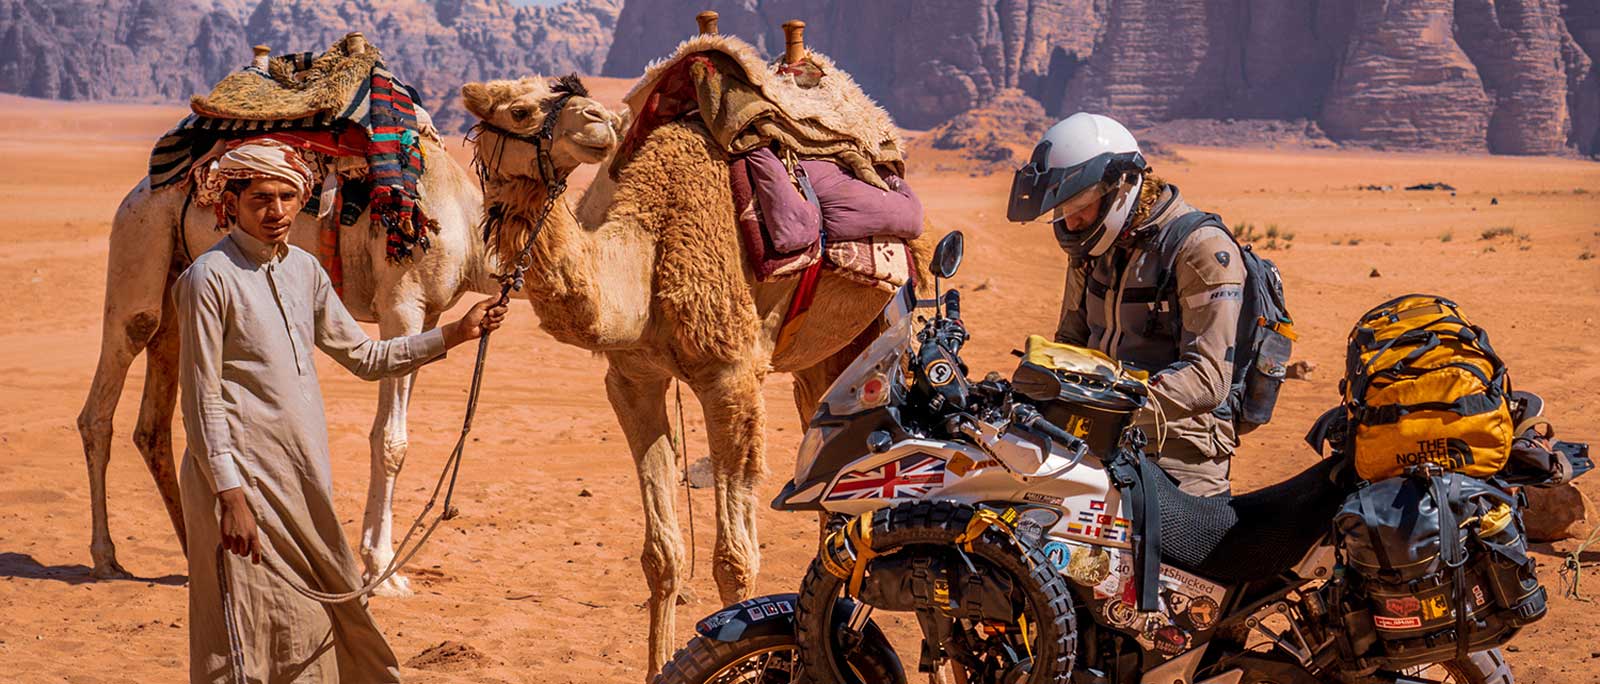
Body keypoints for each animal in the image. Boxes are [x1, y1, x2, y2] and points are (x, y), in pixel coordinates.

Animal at [464, 73, 934, 674]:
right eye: (520, 110)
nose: (597, 119)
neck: (649, 254)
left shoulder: (730, 376)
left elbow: (734, 559)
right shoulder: (632, 380)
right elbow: (662, 555)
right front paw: (657, 663)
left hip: (883, 322)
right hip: (820, 359)